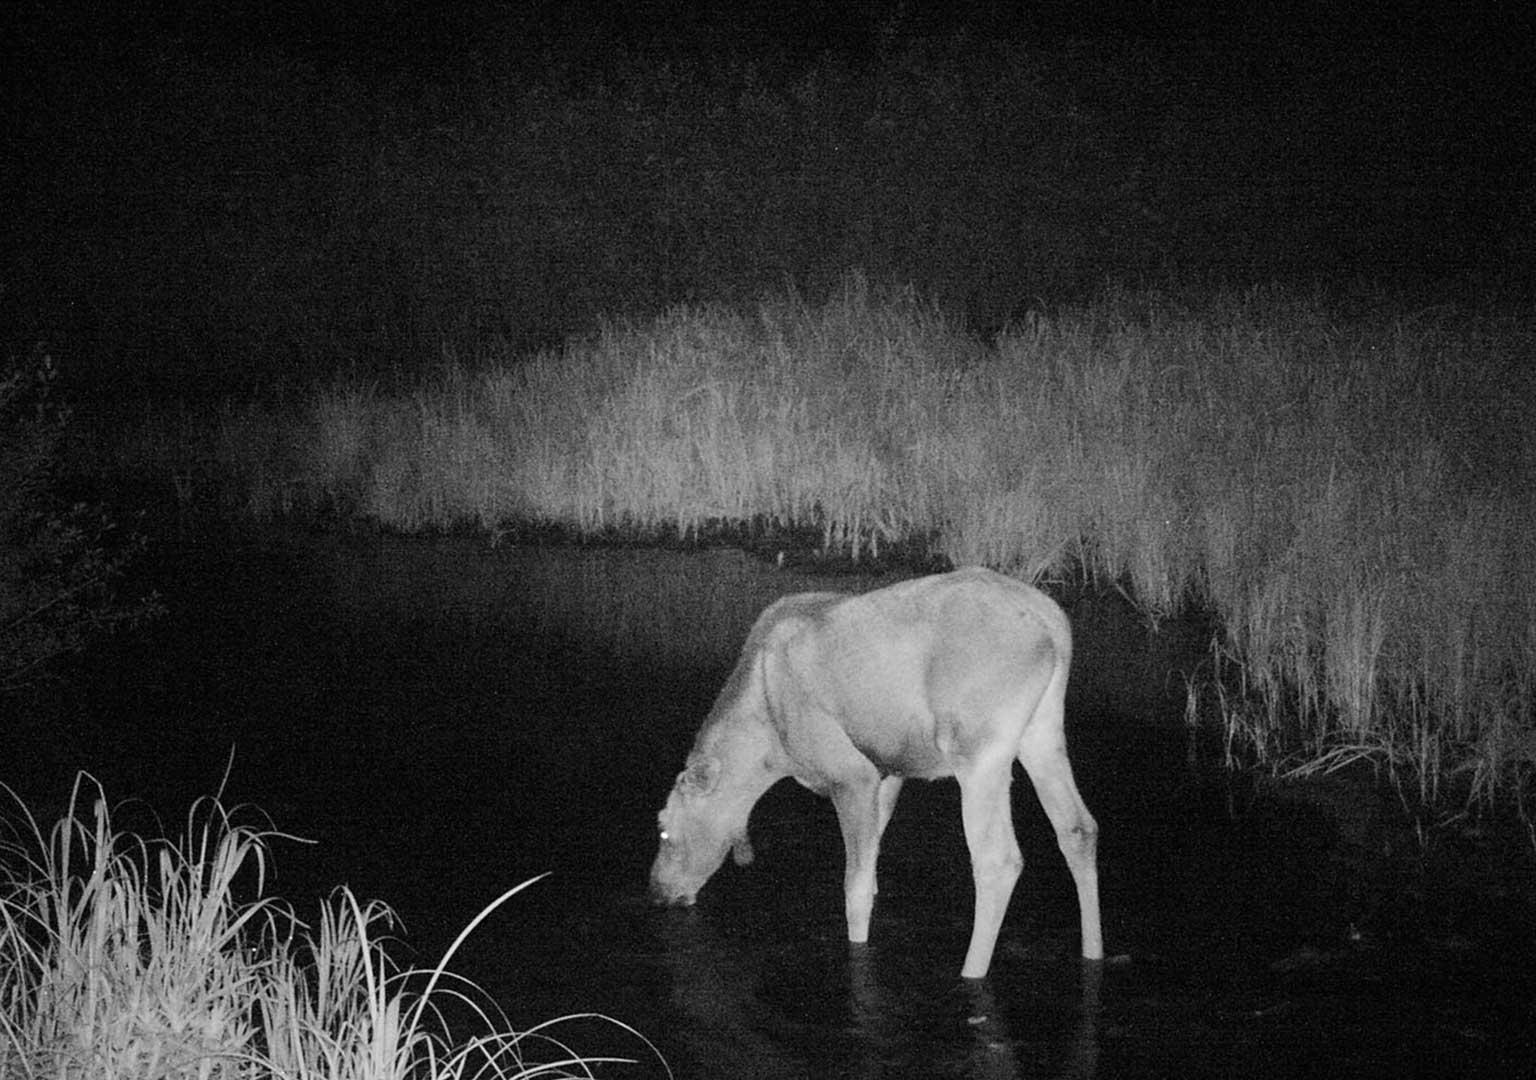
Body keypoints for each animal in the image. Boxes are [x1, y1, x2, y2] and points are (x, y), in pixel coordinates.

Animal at [648, 565, 1105, 983]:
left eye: (665, 830)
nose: (655, 892)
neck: (768, 748)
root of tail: (1054, 626)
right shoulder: (887, 771)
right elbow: (871, 870)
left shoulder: (851, 774)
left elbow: (853, 889)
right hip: (1043, 731)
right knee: (1078, 828)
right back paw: (1094, 950)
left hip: (978, 747)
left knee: (997, 859)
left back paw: (971, 970)